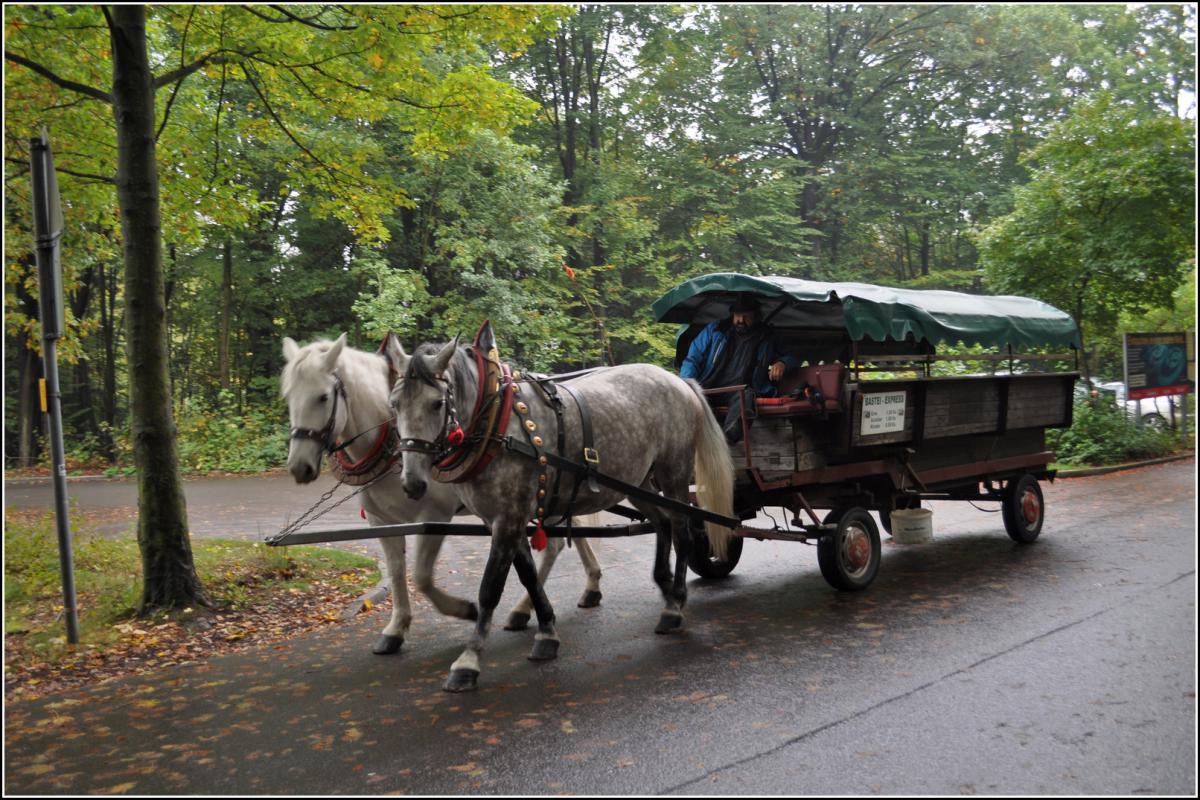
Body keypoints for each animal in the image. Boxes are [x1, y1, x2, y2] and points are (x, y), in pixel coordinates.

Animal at [277, 335, 604, 652]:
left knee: (555, 544)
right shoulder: (380, 520)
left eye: (322, 397)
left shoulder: (434, 515)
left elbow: (421, 576)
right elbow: (396, 572)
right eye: (288, 397)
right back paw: (586, 588)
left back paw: (528, 608)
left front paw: (466, 610)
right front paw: (396, 628)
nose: (299, 466)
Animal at [388, 338, 734, 695]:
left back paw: (674, 606)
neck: (497, 425)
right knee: (663, 523)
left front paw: (468, 661)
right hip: (638, 482)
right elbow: (527, 575)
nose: (412, 482)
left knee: (682, 530)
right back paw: (665, 587)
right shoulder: (502, 519)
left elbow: (491, 589)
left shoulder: (509, 518)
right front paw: (546, 633)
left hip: (673, 472)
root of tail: (678, 381)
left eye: (437, 403)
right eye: (394, 404)